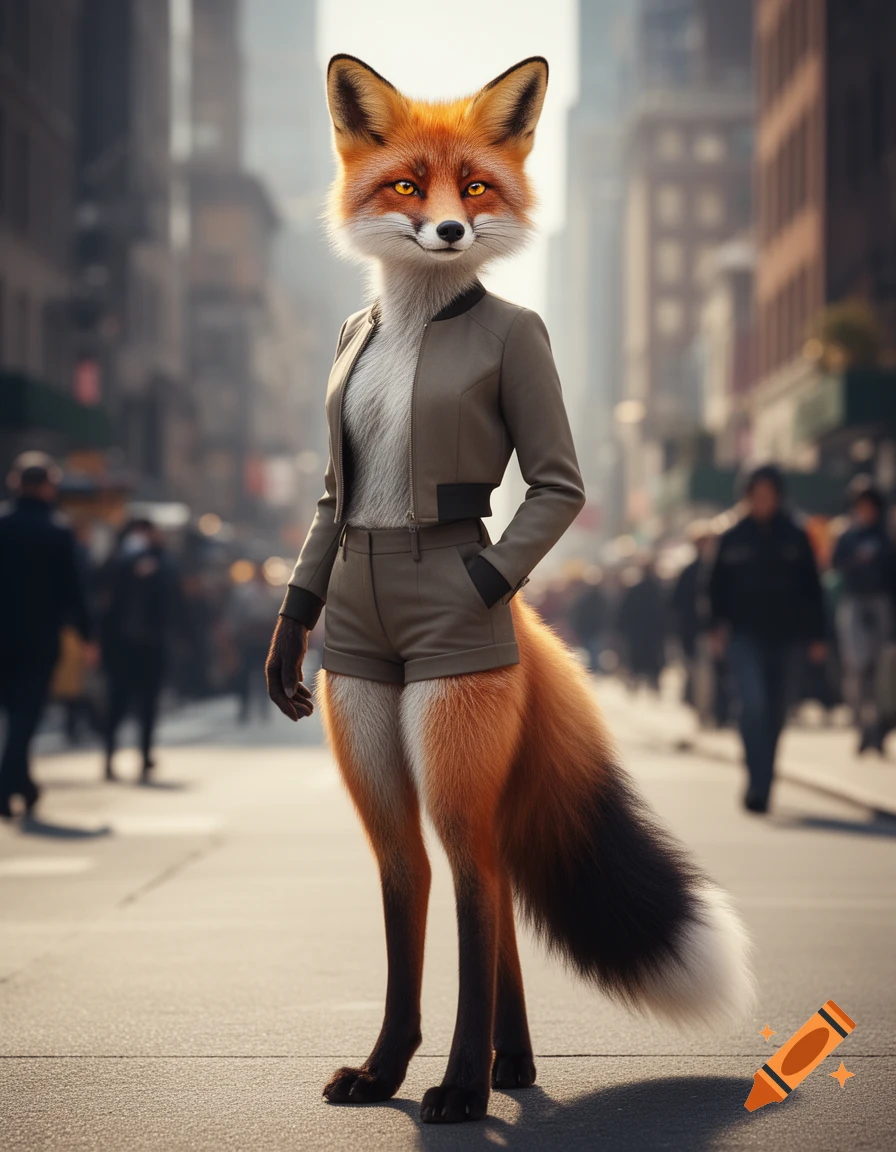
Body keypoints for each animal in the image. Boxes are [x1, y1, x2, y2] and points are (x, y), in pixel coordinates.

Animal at [266, 54, 755, 1125]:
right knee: (418, 876)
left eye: (477, 188)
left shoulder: (533, 369)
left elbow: (558, 480)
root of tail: (524, 624)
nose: (449, 232)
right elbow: (324, 506)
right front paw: (385, 1072)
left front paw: (448, 1087)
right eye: (409, 185)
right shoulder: (337, 479)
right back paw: (494, 1065)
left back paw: (476, 1077)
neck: (417, 321)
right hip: (379, 732)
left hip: (449, 742)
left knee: (481, 882)